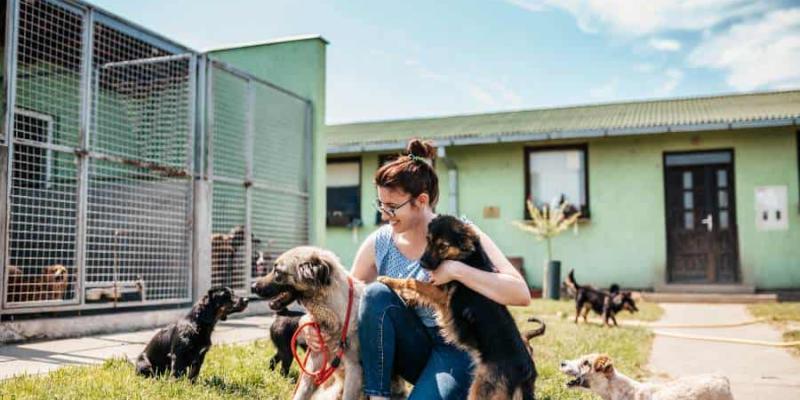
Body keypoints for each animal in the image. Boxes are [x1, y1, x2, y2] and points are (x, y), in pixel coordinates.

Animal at [380, 216, 536, 400]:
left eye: (443, 246)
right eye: (428, 240)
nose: (422, 263)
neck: (465, 257)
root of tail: (527, 370)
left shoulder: (441, 295)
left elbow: (413, 281)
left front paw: (388, 280)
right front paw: (406, 296)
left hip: (481, 388)